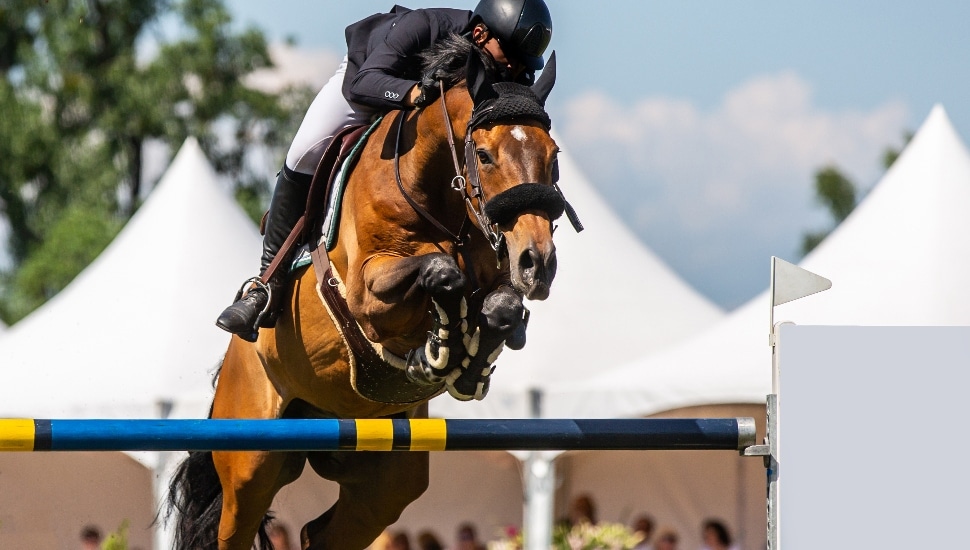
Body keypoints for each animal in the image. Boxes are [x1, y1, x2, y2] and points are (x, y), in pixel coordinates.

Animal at [168, 37, 568, 550]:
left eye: (552, 156)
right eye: (484, 155)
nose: (537, 263)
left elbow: (502, 306)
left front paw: (469, 361)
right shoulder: (366, 294)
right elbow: (440, 272)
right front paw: (440, 349)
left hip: (385, 480)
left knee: (323, 533)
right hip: (251, 463)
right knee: (237, 523)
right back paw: (251, 306)